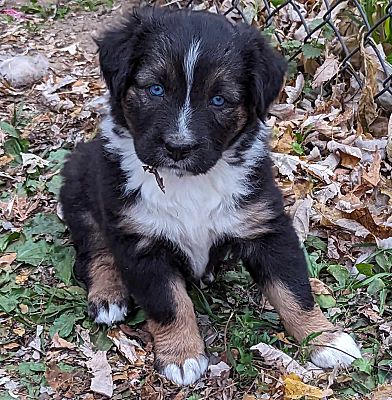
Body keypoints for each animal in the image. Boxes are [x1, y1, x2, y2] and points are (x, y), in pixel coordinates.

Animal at [59, 6, 360, 386]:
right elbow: (170, 303)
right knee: (96, 250)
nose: (178, 147)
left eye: (219, 100)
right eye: (155, 89)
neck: (189, 182)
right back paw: (108, 295)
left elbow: (293, 290)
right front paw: (182, 355)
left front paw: (325, 338)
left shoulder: (266, 226)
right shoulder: (140, 242)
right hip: (80, 186)